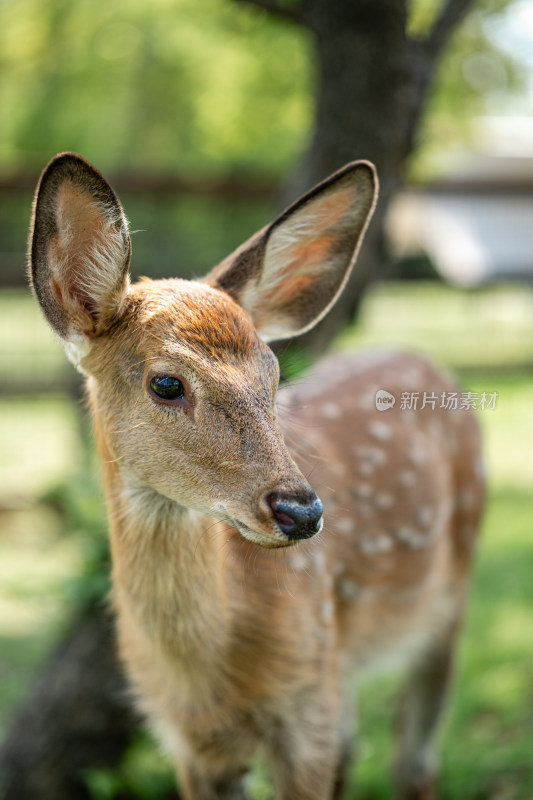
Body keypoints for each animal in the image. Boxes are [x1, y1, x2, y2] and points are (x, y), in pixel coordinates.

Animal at [28, 152, 482, 800]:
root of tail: (425, 360)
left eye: (273, 375)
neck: (210, 673)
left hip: (446, 597)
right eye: (166, 382)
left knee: (414, 759)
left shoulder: (304, 701)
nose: (301, 511)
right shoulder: (189, 742)